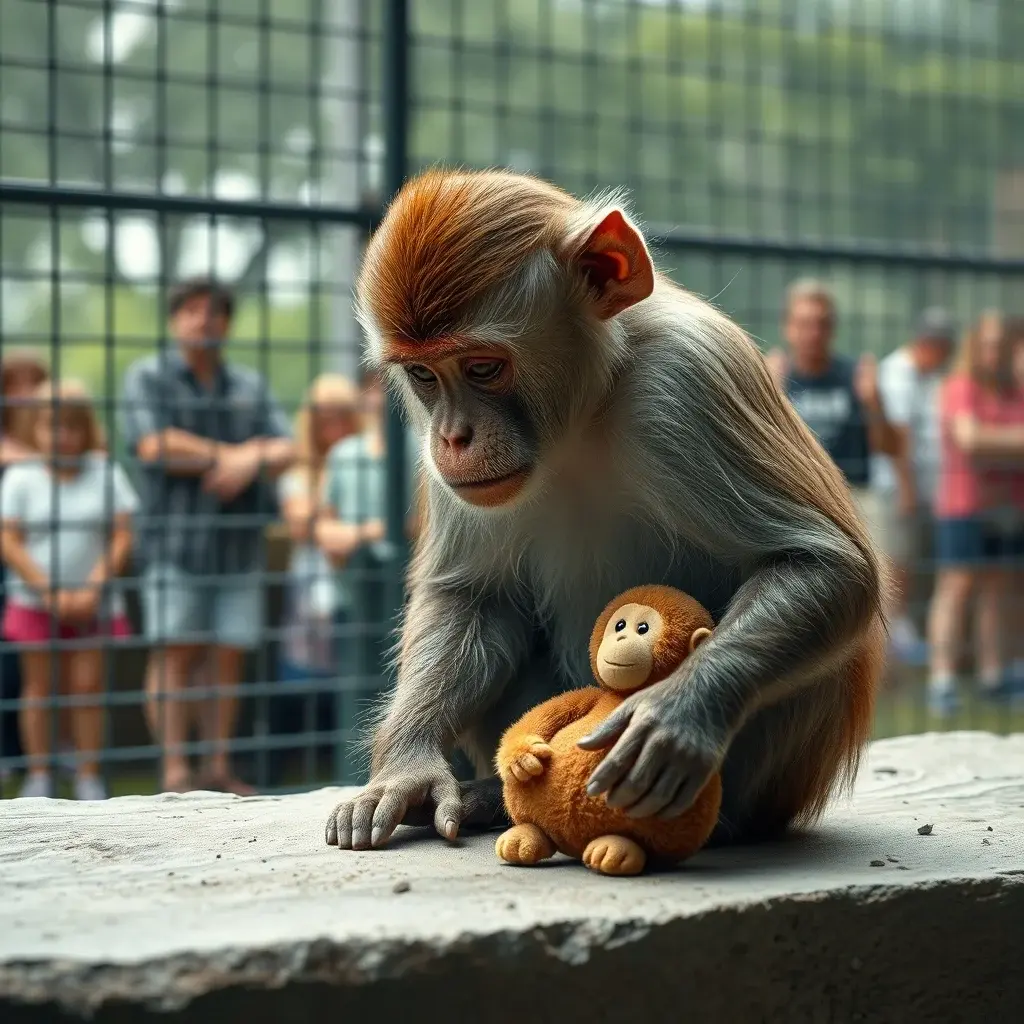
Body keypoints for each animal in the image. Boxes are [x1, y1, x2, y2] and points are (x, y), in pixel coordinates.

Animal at [324, 167, 888, 854]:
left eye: (482, 367)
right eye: (424, 376)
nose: (453, 437)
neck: (583, 414)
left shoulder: (688, 378)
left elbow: (825, 565)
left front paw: (675, 716)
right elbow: (473, 597)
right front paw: (407, 769)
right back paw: (494, 799)